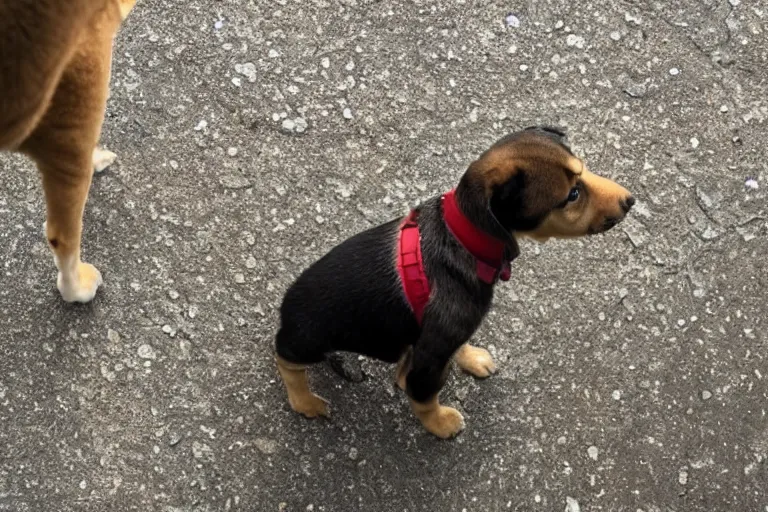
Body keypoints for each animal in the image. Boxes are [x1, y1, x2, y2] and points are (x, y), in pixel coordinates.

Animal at [272, 126, 632, 438]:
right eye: (572, 195)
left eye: (583, 170)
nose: (630, 201)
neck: (465, 238)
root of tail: (284, 314)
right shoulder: (430, 358)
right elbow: (424, 398)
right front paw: (440, 424)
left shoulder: (447, 334)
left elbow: (459, 347)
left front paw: (472, 359)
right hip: (309, 341)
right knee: (285, 359)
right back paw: (305, 401)